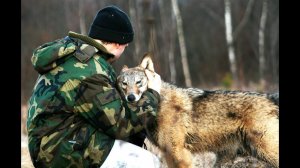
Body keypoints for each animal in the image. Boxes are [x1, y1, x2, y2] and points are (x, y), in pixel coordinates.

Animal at [116, 54, 278, 167]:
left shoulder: (179, 154)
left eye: (139, 82)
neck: (158, 103)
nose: (130, 97)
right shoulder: (169, 154)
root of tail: (270, 97)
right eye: (124, 84)